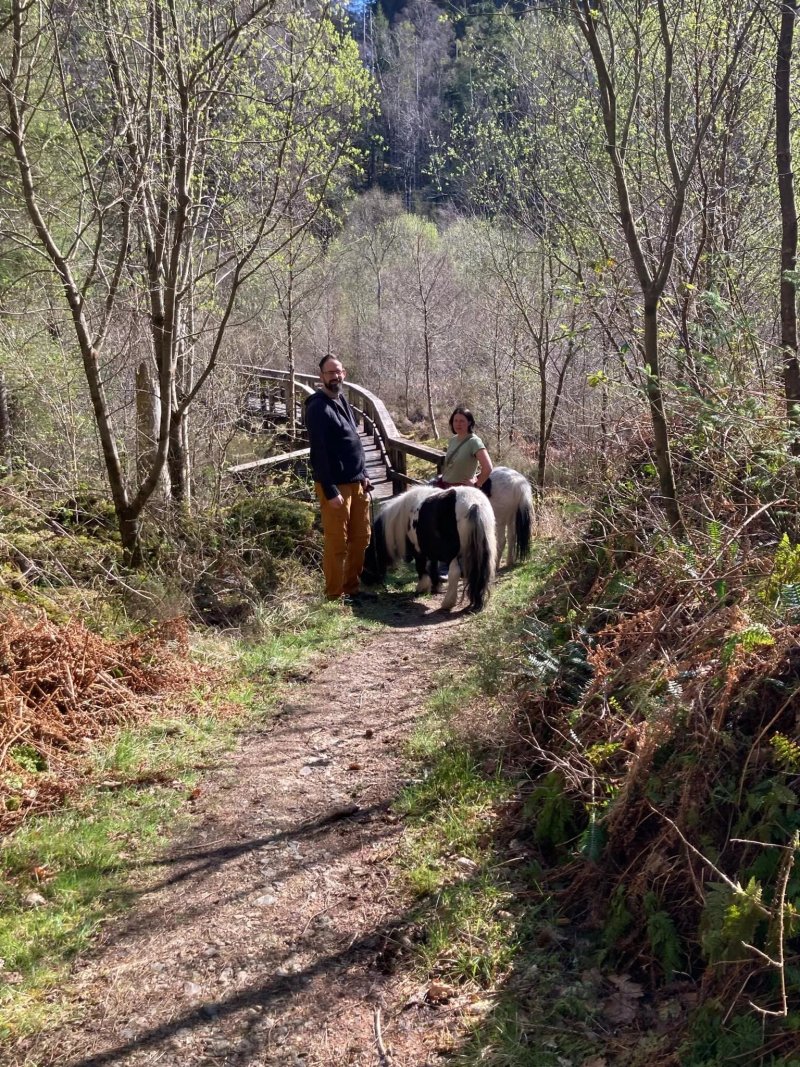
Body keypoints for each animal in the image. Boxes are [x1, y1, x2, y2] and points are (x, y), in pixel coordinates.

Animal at [365, 485, 497, 611]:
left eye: (367, 555)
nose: (367, 581)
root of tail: (473, 504)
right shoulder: (431, 549)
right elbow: (433, 566)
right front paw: (435, 586)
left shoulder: (419, 550)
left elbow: (421, 567)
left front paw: (422, 588)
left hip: (453, 554)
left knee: (455, 573)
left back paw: (447, 603)